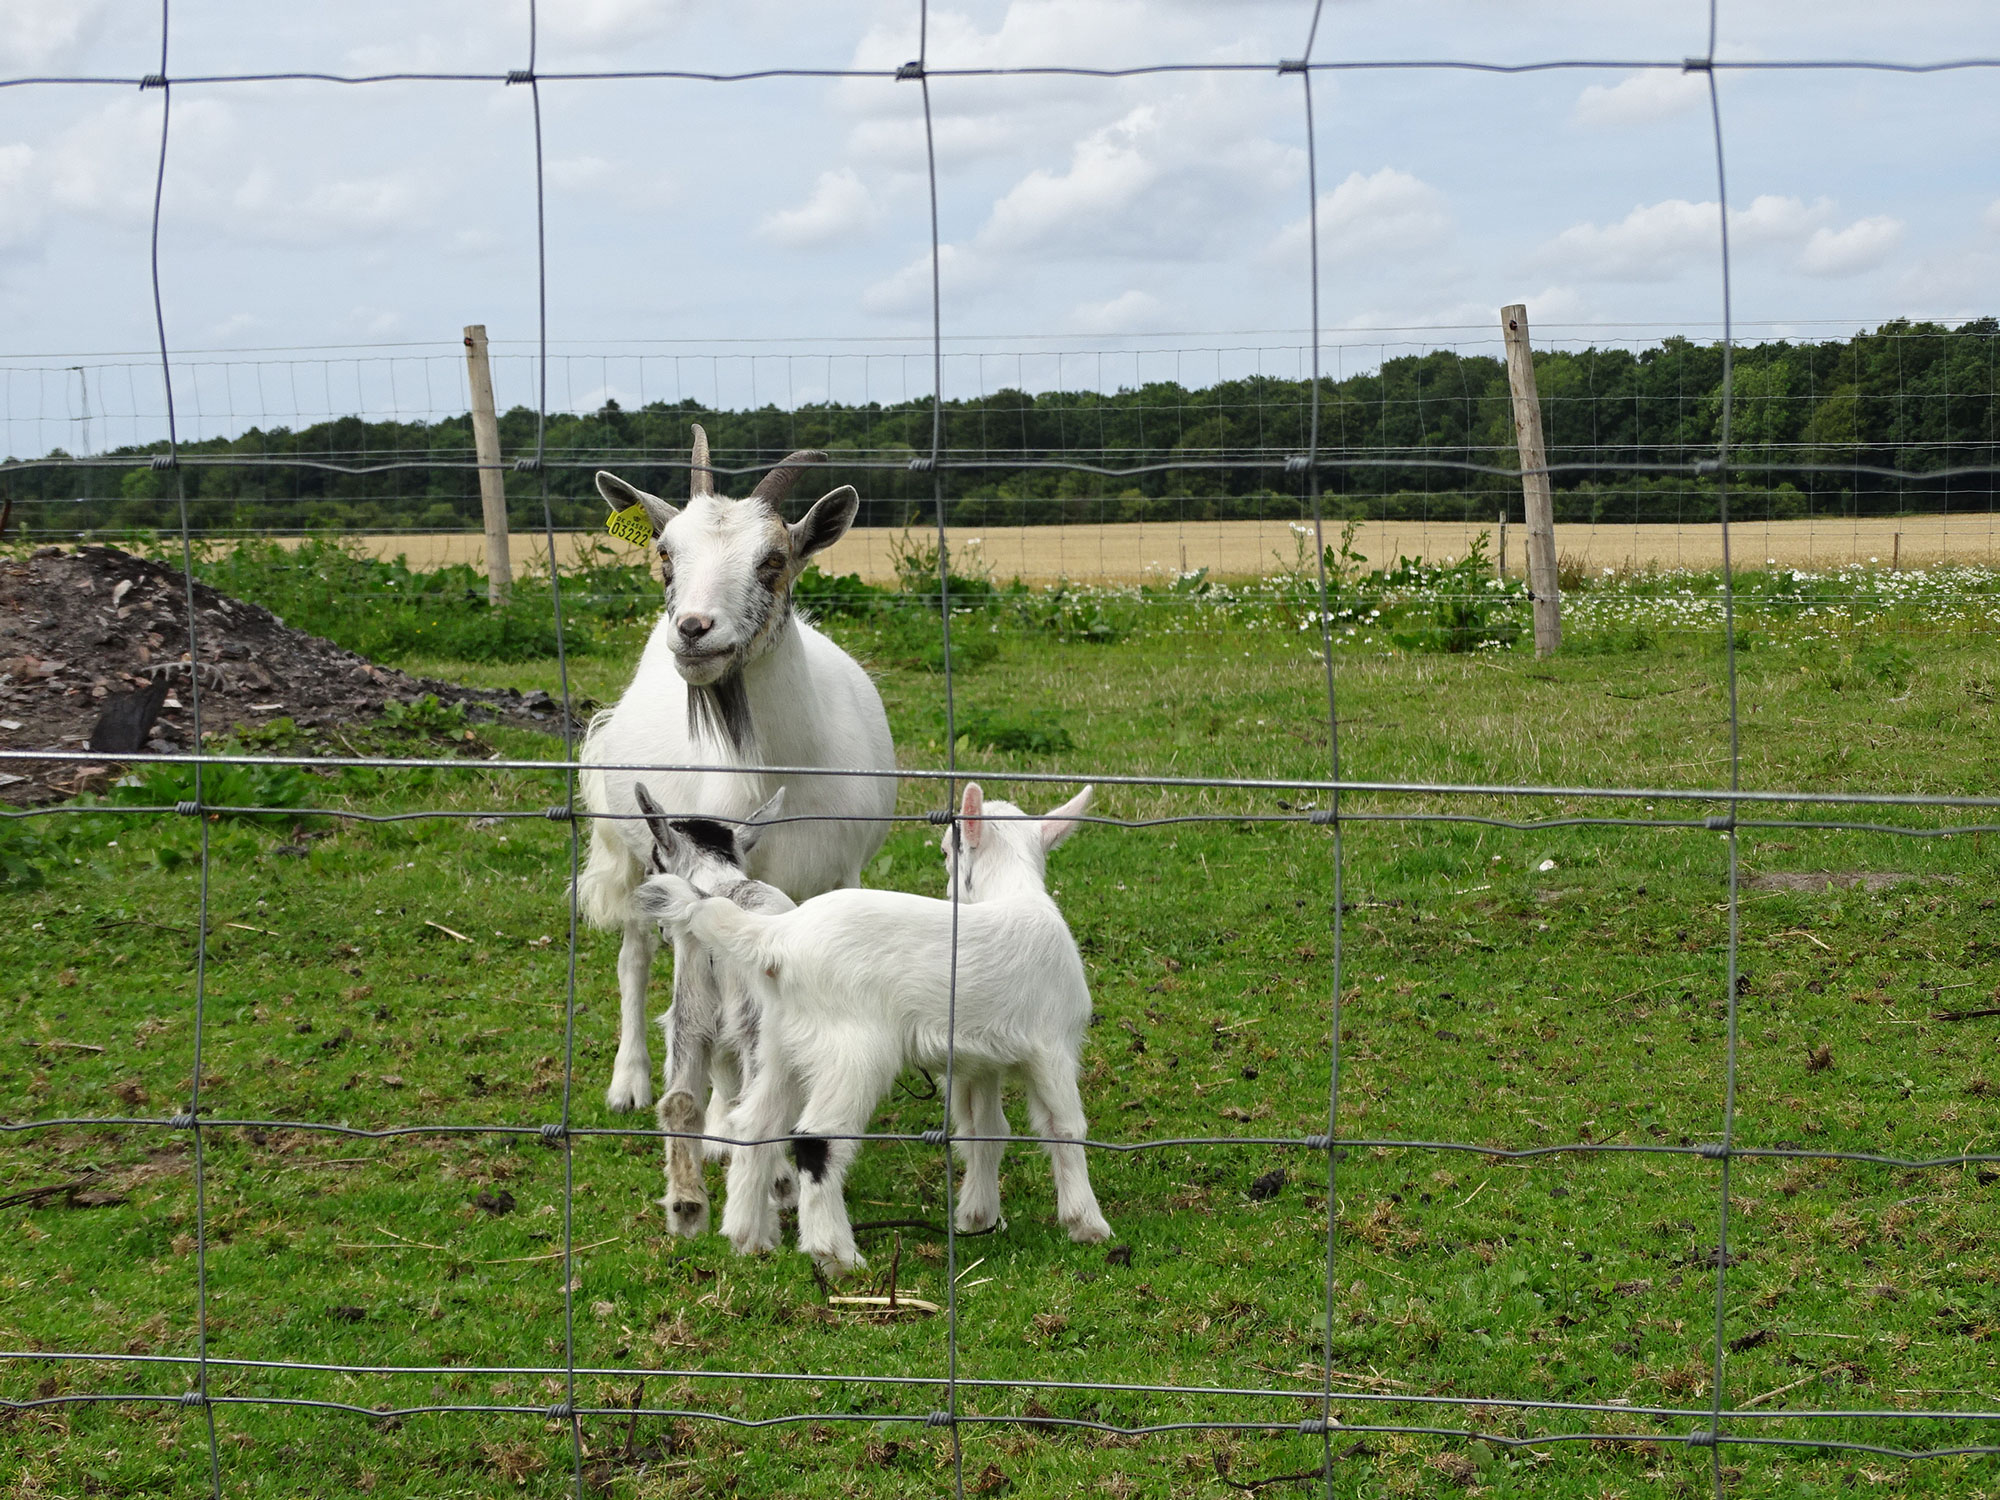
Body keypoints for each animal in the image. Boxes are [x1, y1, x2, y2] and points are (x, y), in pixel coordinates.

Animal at [576, 428, 896, 1160]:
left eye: (773, 560)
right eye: (666, 555)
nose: (695, 629)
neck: (780, 775)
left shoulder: (833, 874)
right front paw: (725, 1124)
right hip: (636, 854)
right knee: (634, 957)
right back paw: (629, 1081)